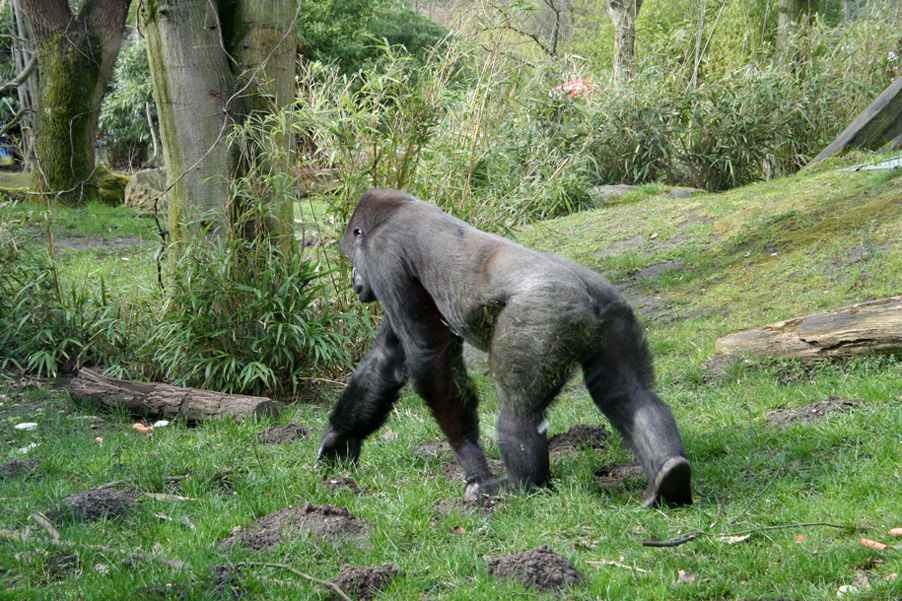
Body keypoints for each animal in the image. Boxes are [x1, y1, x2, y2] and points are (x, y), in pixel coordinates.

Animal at [322, 189, 696, 506]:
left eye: (352, 259)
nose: (354, 280)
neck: (397, 211)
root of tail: (588, 298)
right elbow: (388, 359)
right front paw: (339, 440)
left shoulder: (383, 257)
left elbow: (428, 355)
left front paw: (472, 462)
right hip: (615, 316)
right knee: (627, 393)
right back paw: (669, 476)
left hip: (543, 316)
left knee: (518, 407)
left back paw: (521, 483)